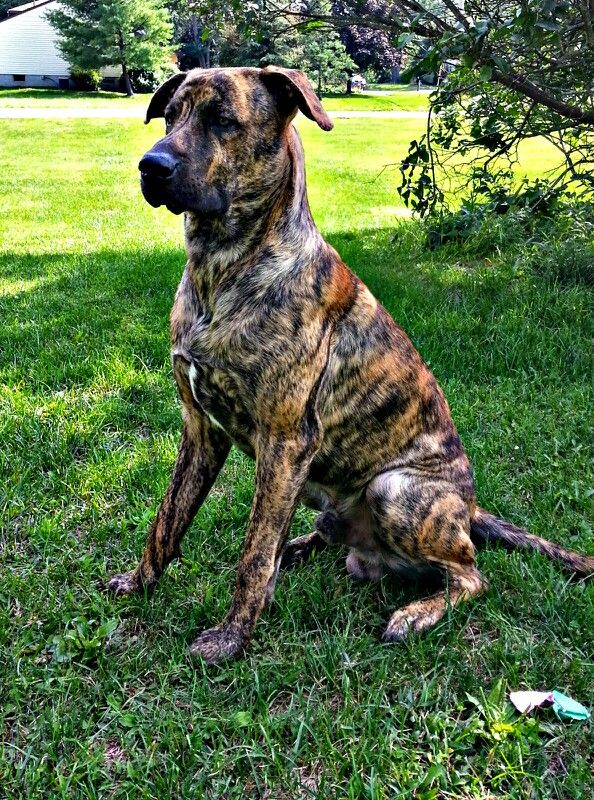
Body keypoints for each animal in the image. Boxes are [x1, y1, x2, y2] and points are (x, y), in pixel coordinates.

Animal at [107, 65, 592, 664]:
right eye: (170, 116)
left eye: (223, 121)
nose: (150, 166)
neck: (222, 269)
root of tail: (470, 507)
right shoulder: (200, 430)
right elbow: (168, 520)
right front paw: (139, 583)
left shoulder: (285, 440)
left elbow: (251, 555)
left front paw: (230, 637)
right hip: (321, 494)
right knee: (314, 535)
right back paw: (299, 548)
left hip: (394, 490)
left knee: (471, 574)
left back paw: (414, 613)